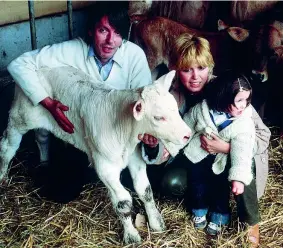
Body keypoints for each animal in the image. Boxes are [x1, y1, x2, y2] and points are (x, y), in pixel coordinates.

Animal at [0, 66, 192, 244]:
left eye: (175, 108)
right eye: (158, 117)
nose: (188, 135)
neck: (123, 130)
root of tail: (40, 66)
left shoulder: (135, 157)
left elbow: (145, 190)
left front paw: (156, 222)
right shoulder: (105, 166)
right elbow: (123, 202)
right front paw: (131, 236)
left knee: (42, 137)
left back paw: (45, 162)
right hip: (20, 117)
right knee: (7, 146)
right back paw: (3, 177)